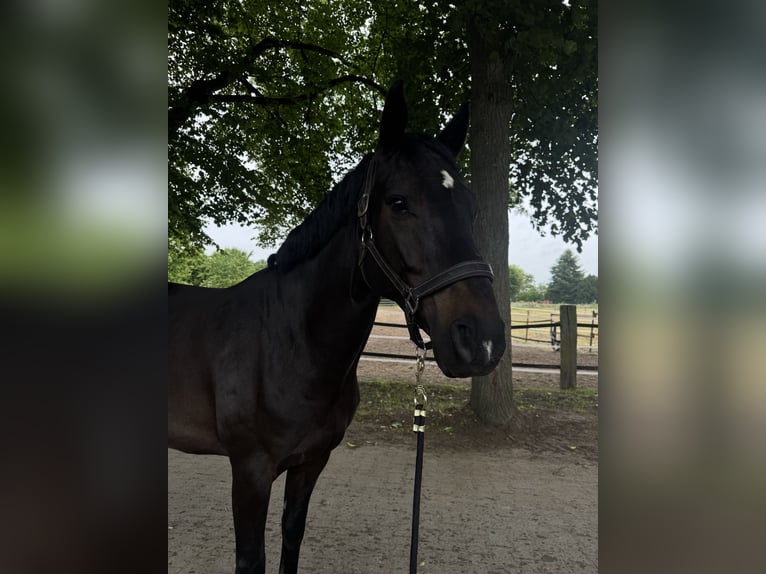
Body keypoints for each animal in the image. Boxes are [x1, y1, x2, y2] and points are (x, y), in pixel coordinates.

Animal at [168, 80, 506, 574]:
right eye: (398, 203)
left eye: (472, 206)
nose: (481, 341)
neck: (288, 344)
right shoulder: (250, 470)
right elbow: (252, 558)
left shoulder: (311, 462)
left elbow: (292, 536)